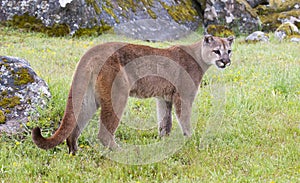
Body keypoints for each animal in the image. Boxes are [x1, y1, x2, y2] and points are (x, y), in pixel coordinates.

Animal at [32, 34, 234, 154]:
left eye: (229, 51)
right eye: (217, 51)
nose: (226, 61)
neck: (199, 57)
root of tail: (93, 50)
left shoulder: (164, 98)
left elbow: (165, 122)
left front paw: (164, 142)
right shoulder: (182, 96)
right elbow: (184, 120)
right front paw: (189, 139)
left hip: (89, 98)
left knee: (74, 127)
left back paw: (74, 152)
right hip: (118, 94)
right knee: (104, 134)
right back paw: (123, 152)